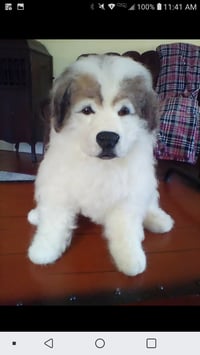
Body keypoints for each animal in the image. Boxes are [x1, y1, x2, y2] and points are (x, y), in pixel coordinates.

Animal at [27, 54, 174, 276]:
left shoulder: (129, 192)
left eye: (124, 111)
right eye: (87, 110)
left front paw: (130, 257)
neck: (99, 165)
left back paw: (157, 219)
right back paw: (37, 215)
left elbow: (126, 228)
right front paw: (44, 249)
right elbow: (54, 221)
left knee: (150, 201)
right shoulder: (58, 185)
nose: (107, 138)